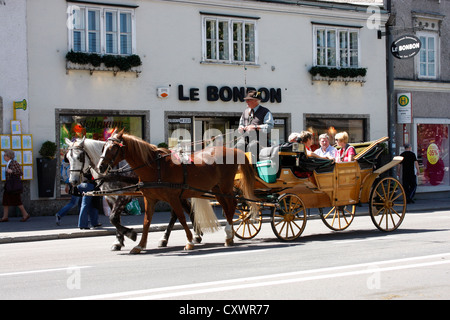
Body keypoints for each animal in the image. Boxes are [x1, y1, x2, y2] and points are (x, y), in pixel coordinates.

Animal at [97, 129, 256, 252]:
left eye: (113, 148)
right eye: (103, 147)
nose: (100, 167)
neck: (156, 167)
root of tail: (234, 150)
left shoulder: (173, 197)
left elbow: (181, 217)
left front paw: (190, 241)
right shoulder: (150, 199)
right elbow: (146, 221)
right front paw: (140, 245)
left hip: (225, 187)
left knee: (232, 205)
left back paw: (228, 234)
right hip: (217, 189)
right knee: (227, 207)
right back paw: (229, 236)